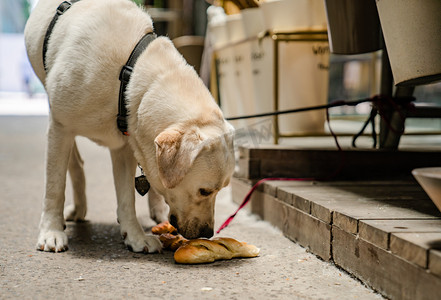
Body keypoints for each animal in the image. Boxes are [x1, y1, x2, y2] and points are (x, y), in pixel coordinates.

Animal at [24, 0, 234, 253]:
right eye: (205, 191)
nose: (208, 233)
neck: (128, 73)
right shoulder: (60, 127)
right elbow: (54, 186)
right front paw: (51, 232)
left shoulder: (126, 145)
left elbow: (127, 197)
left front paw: (134, 236)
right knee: (73, 164)